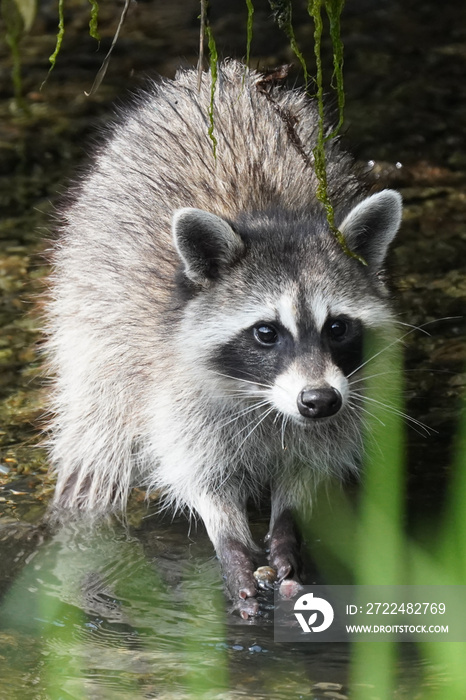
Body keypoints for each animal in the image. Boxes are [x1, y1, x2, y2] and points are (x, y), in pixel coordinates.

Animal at [47, 61, 402, 616]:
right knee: (97, 429)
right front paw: (229, 536)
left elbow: (310, 461)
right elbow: (198, 474)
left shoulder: (348, 395)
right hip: (90, 314)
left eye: (337, 327)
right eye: (266, 333)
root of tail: (217, 73)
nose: (318, 401)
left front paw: (288, 526)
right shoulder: (171, 382)